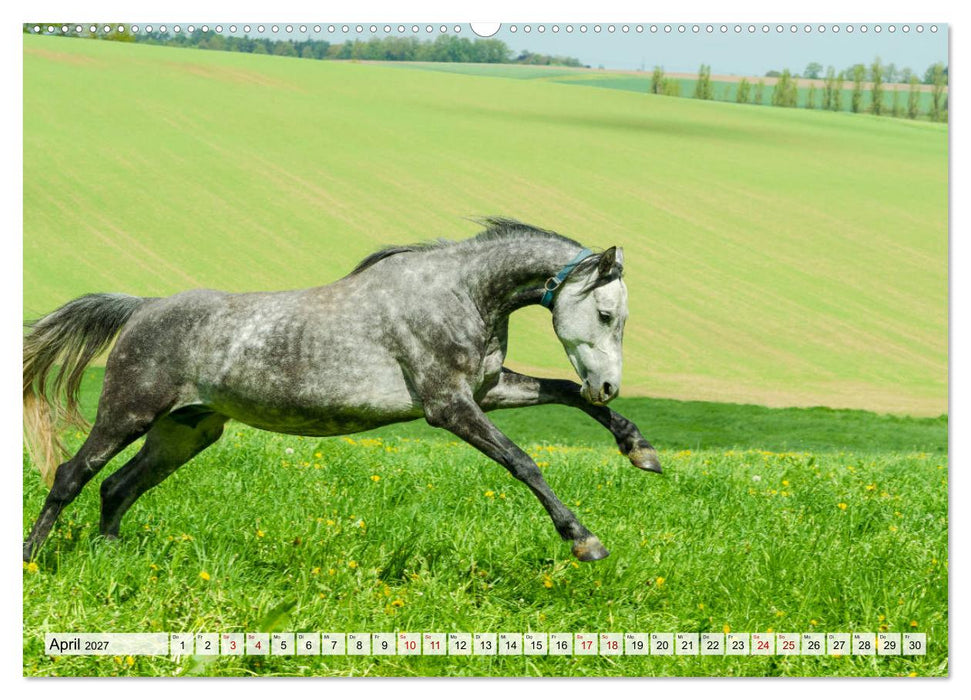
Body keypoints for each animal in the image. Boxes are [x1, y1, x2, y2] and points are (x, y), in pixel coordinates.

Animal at [23, 218, 661, 564]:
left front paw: (641, 451)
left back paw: (109, 555)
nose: (609, 385)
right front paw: (584, 542)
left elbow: (564, 392)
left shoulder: (487, 391)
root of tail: (143, 308)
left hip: (185, 432)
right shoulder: (449, 407)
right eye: (606, 314)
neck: (461, 293)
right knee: (72, 476)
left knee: (117, 487)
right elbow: (524, 463)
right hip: (126, 414)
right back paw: (32, 561)